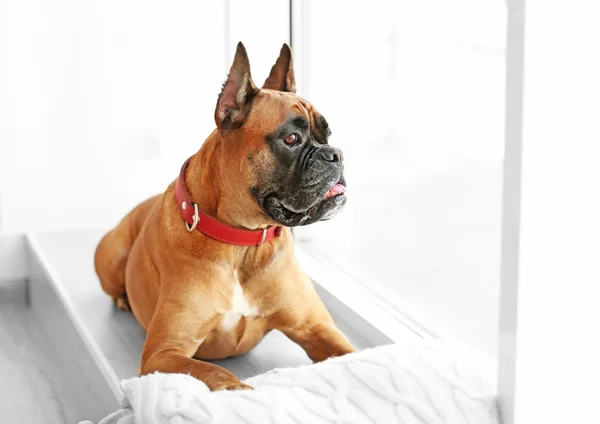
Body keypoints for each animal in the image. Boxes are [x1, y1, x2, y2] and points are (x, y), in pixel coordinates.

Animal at [95, 43, 354, 390]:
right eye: (291, 139)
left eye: (327, 135)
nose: (335, 154)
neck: (242, 244)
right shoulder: (163, 354)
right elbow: (214, 372)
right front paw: (240, 391)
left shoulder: (316, 329)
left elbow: (353, 354)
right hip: (113, 256)